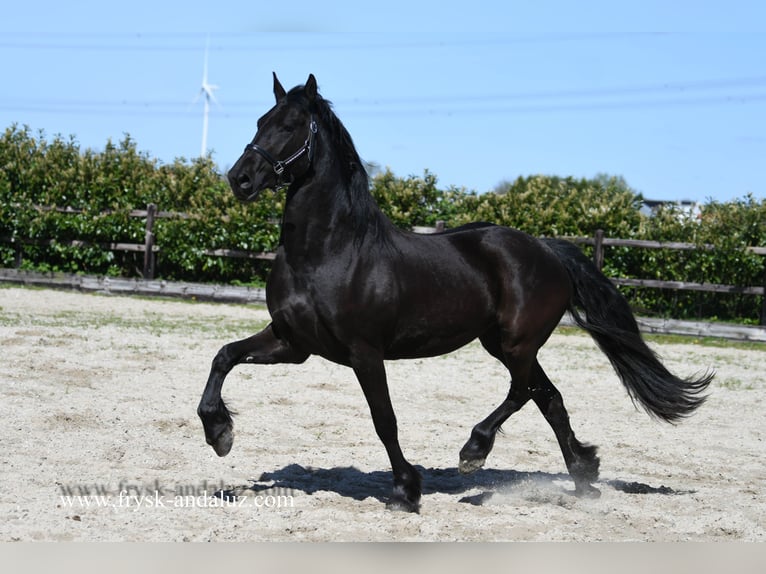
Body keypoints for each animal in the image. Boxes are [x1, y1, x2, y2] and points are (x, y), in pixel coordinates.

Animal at [198, 75, 712, 512]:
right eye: (260, 121)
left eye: (289, 126)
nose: (239, 179)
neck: (328, 251)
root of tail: (546, 249)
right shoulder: (294, 343)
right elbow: (224, 356)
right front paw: (220, 433)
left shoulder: (365, 352)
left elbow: (384, 420)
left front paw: (407, 491)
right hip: (502, 343)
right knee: (549, 397)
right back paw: (584, 478)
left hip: (516, 343)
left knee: (524, 391)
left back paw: (474, 451)